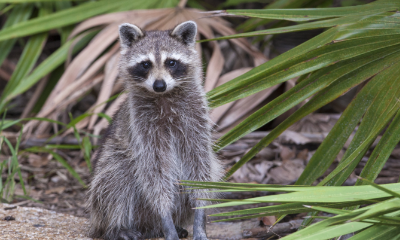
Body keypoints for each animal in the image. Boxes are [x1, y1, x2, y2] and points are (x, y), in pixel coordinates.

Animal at [87, 21, 223, 240]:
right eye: (145, 64)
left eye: (171, 62)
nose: (160, 85)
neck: (164, 96)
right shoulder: (142, 127)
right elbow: (154, 172)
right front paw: (165, 216)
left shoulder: (196, 120)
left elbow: (200, 165)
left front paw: (199, 214)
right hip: (109, 167)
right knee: (117, 177)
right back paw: (117, 227)